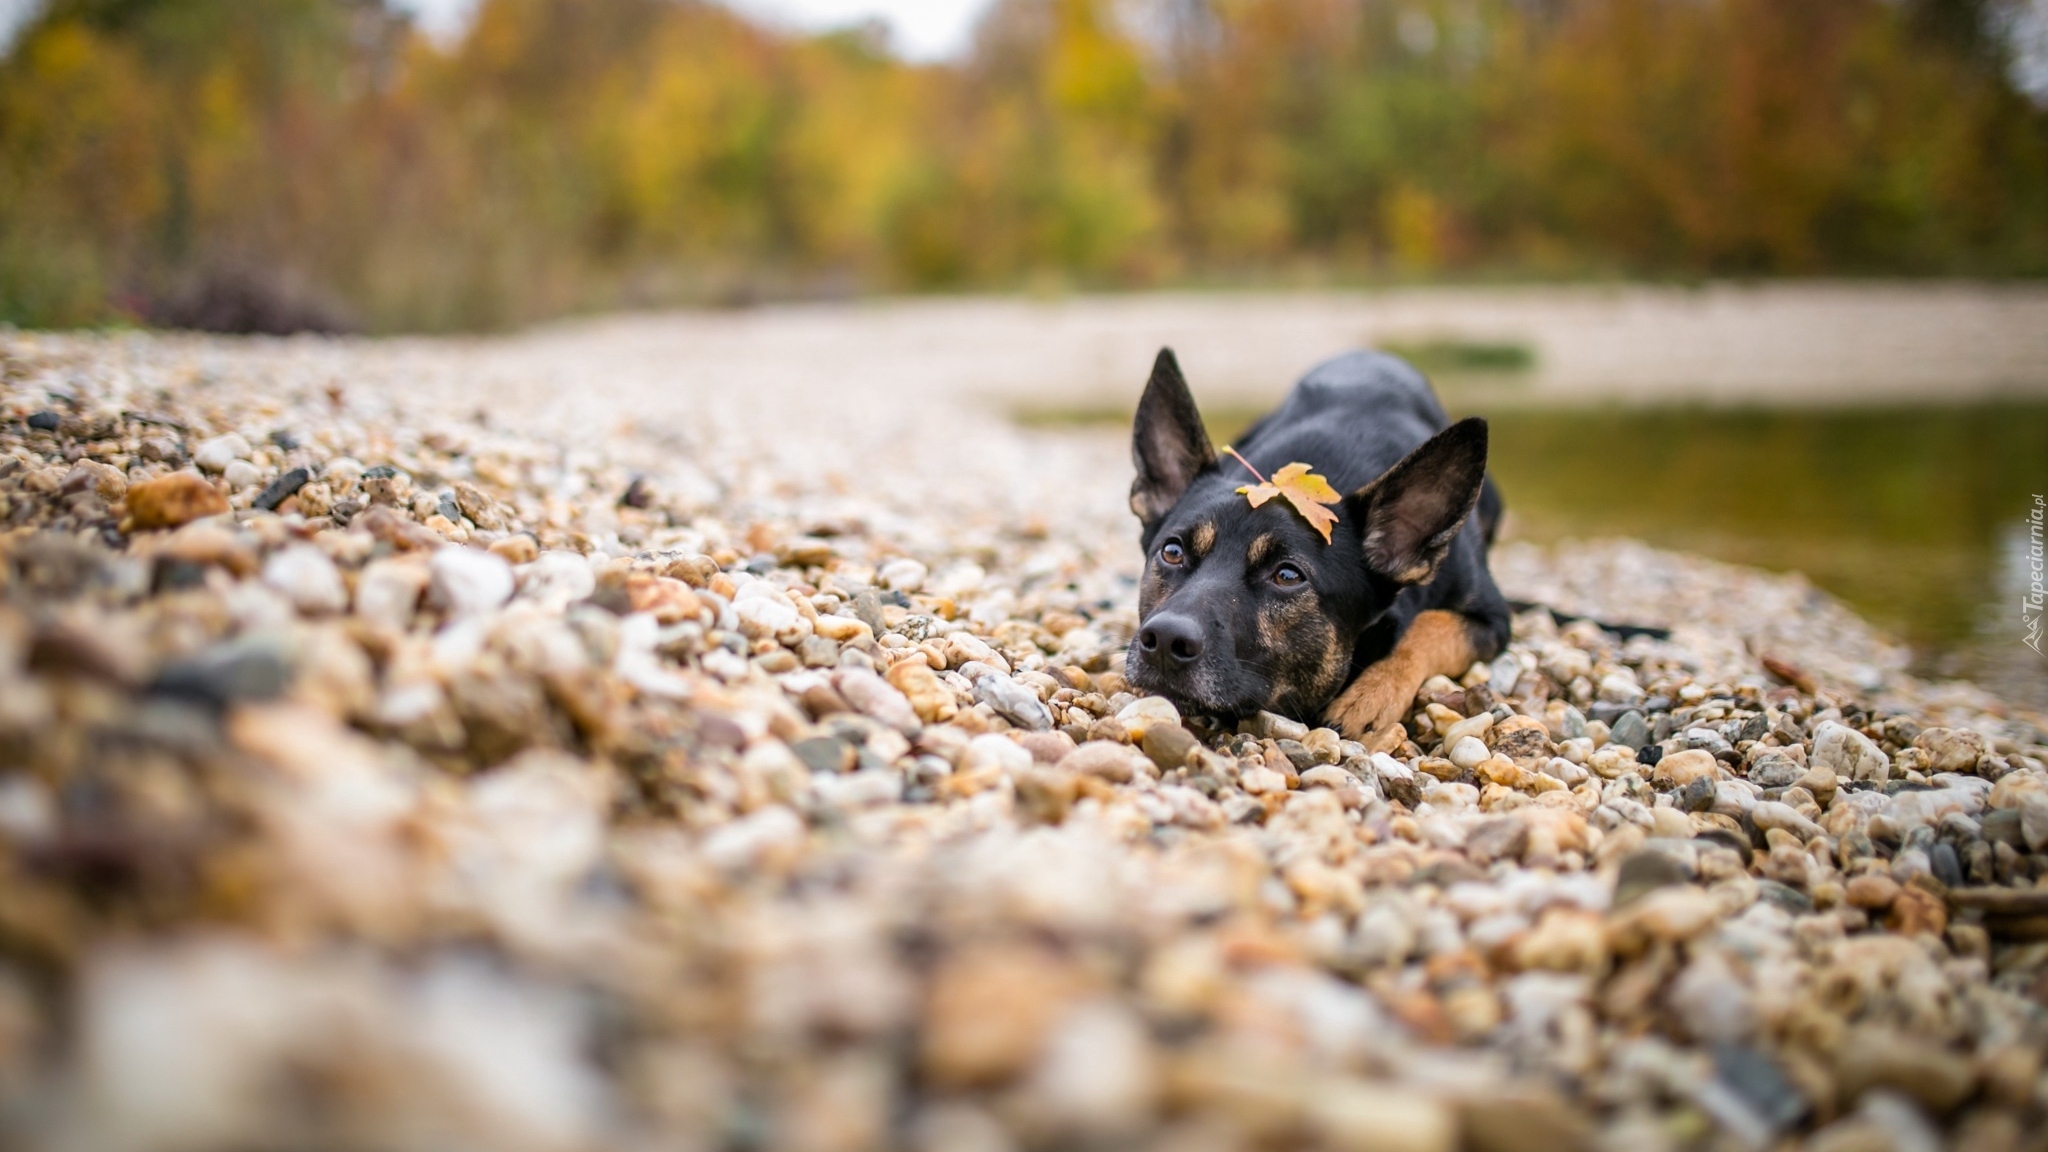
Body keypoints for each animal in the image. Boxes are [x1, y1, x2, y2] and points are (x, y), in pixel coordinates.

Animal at [1130, 344, 1515, 733]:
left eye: (1288, 575)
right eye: (1172, 552)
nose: (1165, 640)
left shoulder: (1494, 618)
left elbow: (1428, 626)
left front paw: (1372, 694)